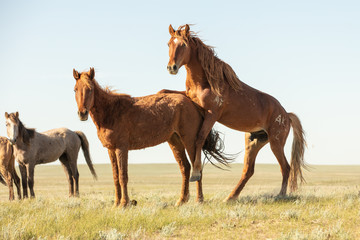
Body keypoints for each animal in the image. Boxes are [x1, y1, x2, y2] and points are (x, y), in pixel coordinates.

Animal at [73, 68, 231, 207]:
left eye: (90, 89)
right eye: (75, 89)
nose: (82, 113)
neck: (111, 111)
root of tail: (190, 102)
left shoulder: (121, 148)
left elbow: (123, 176)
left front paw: (124, 204)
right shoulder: (111, 150)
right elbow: (116, 177)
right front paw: (116, 204)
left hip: (190, 141)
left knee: (196, 167)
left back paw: (199, 200)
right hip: (175, 141)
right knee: (185, 167)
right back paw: (181, 200)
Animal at [160, 24, 306, 201]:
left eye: (183, 44)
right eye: (169, 44)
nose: (171, 67)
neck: (205, 82)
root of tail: (286, 114)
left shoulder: (212, 114)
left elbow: (200, 138)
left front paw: (196, 173)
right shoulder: (192, 100)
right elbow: (166, 91)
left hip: (276, 142)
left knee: (285, 167)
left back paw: (280, 195)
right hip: (254, 141)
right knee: (248, 171)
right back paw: (230, 197)